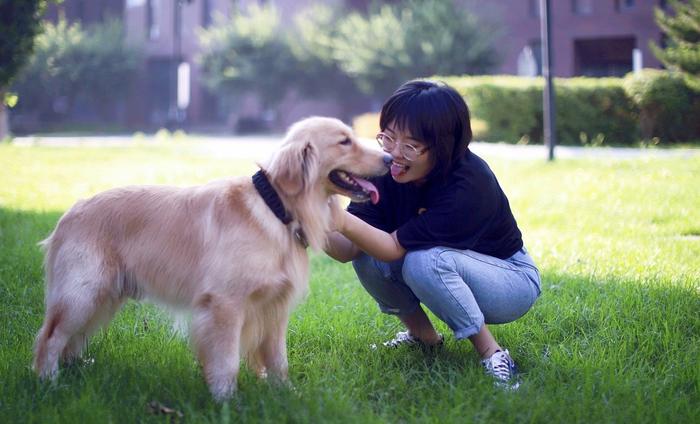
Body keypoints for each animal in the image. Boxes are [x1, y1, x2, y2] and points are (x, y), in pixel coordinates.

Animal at [32, 117, 392, 400]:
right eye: (344, 141)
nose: (390, 158)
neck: (275, 208)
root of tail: (68, 214)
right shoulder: (224, 304)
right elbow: (227, 360)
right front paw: (225, 400)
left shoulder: (275, 306)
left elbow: (278, 359)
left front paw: (285, 394)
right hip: (83, 293)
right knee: (50, 337)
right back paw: (49, 382)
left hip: (104, 297)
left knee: (72, 340)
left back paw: (76, 370)